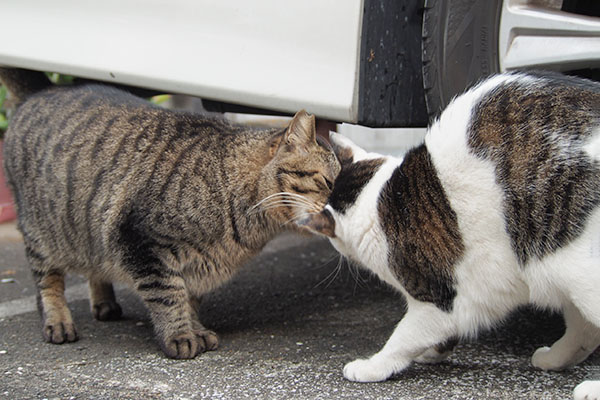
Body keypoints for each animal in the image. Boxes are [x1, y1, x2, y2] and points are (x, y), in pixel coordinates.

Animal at [0, 68, 338, 360]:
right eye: (329, 182)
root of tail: (45, 89)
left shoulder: (198, 267)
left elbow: (189, 299)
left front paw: (196, 328)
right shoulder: (143, 243)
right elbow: (169, 295)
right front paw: (181, 335)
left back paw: (104, 303)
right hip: (43, 235)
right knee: (48, 284)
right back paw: (58, 321)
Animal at [298, 72, 600, 400]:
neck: (378, 199)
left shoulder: (441, 298)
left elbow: (403, 337)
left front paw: (372, 366)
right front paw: (432, 352)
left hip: (580, 273)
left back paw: (590, 387)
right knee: (583, 330)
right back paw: (554, 358)